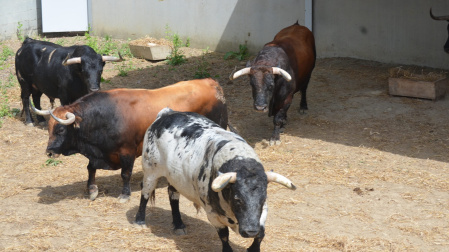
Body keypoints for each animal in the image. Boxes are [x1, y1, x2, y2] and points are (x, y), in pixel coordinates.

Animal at [32, 79, 228, 203]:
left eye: (60, 129)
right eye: (48, 128)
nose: (49, 151)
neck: (106, 116)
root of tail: (212, 83)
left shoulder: (127, 152)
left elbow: (125, 174)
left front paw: (124, 195)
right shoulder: (100, 153)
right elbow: (90, 168)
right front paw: (92, 189)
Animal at [135, 109, 296, 252]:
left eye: (263, 199)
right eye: (237, 199)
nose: (250, 232)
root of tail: (166, 113)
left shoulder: (261, 214)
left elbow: (261, 233)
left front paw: (253, 248)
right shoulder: (212, 213)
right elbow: (224, 235)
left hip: (175, 177)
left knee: (173, 195)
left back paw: (179, 224)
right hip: (151, 171)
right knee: (145, 192)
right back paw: (140, 220)